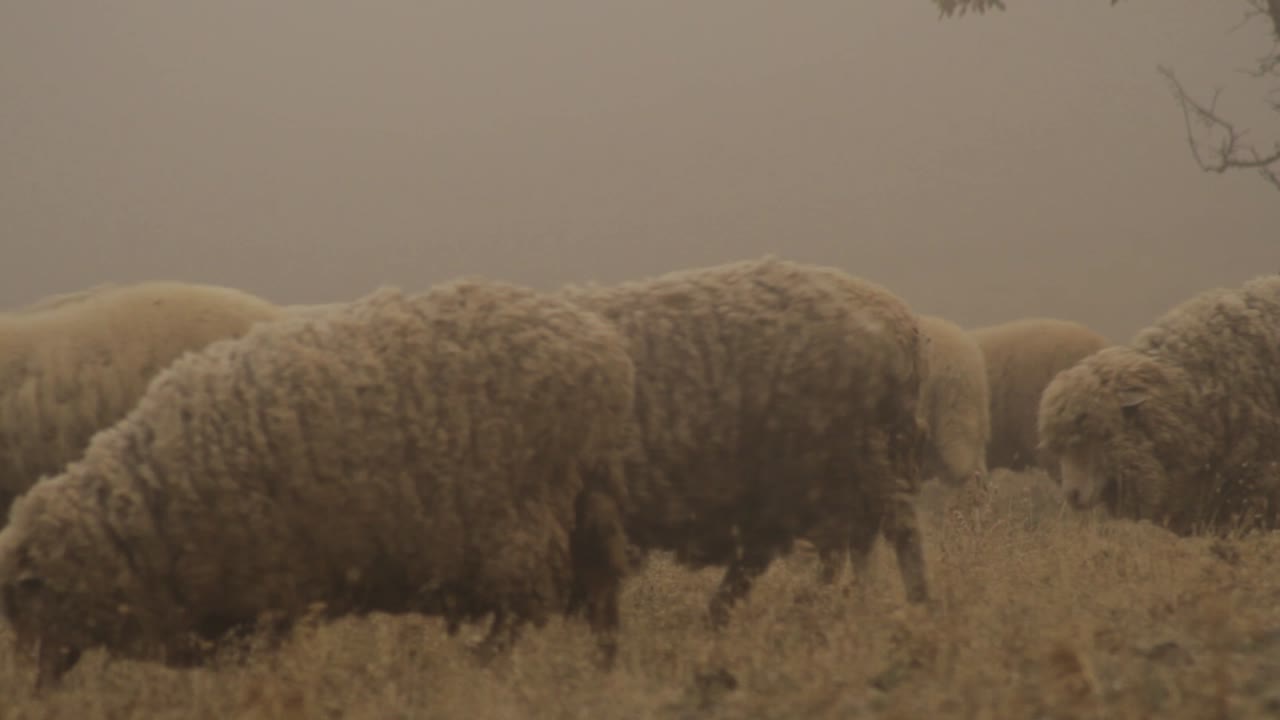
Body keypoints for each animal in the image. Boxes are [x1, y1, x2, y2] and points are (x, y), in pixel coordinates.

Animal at [559, 256, 929, 627]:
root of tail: (898, 320)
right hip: (838, 468)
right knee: (848, 543)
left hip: (851, 460)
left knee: (894, 533)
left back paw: (909, 606)